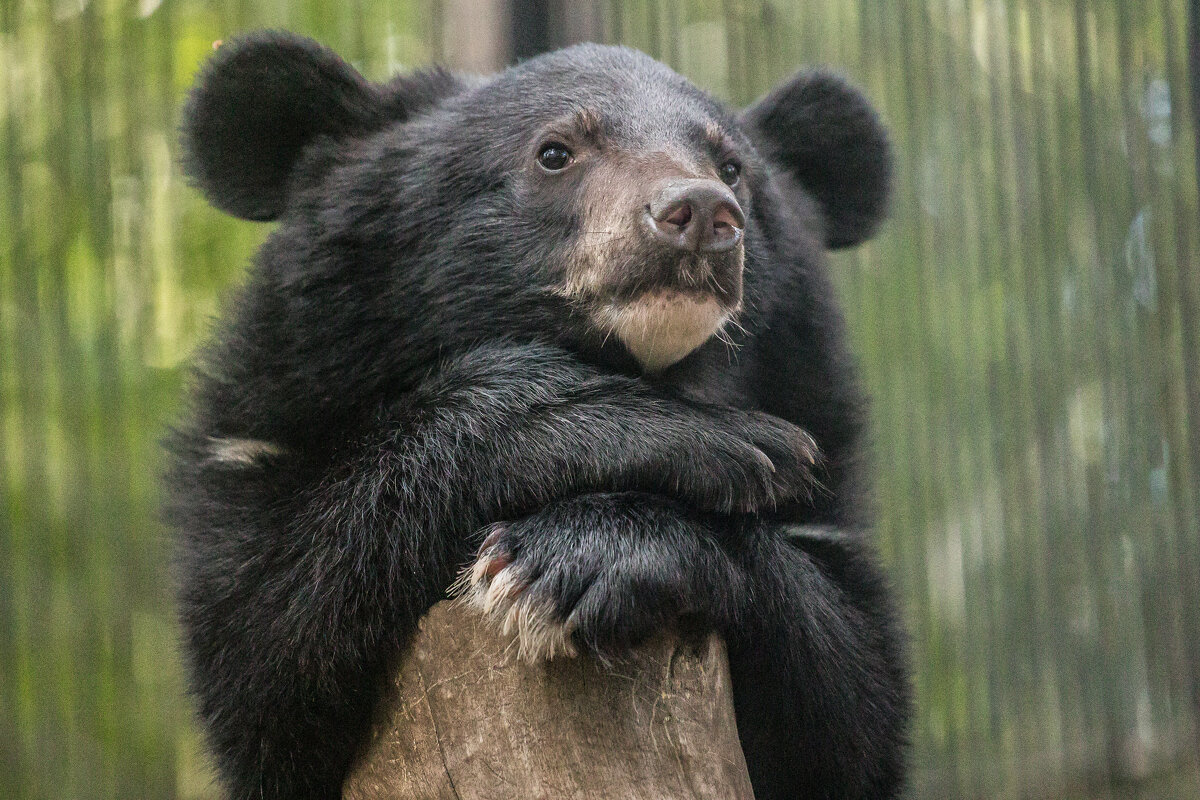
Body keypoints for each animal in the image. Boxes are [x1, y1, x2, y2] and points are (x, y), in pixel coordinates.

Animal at [169, 29, 907, 800]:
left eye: (732, 168)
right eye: (556, 152)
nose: (702, 213)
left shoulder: (823, 463)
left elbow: (850, 704)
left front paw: (572, 563)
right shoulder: (265, 426)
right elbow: (264, 640)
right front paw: (708, 441)